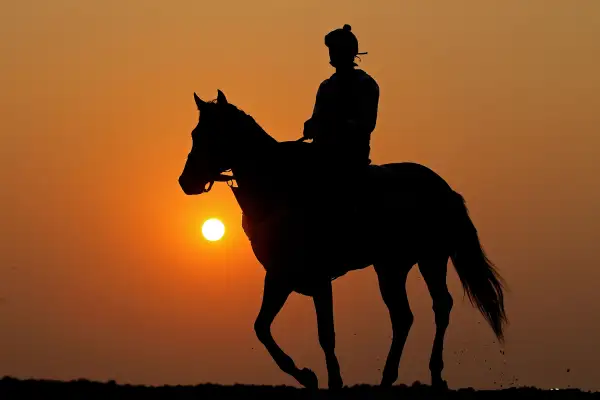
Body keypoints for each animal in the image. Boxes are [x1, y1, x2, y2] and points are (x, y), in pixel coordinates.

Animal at [177, 89, 506, 390]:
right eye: (195, 133)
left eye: (212, 134)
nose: (185, 181)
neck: (280, 188)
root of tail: (444, 188)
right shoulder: (279, 276)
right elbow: (262, 327)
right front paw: (306, 376)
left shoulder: (319, 278)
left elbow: (326, 333)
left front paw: (333, 381)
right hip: (396, 266)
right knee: (407, 315)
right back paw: (394, 378)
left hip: (428, 259)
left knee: (435, 308)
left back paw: (431, 375)